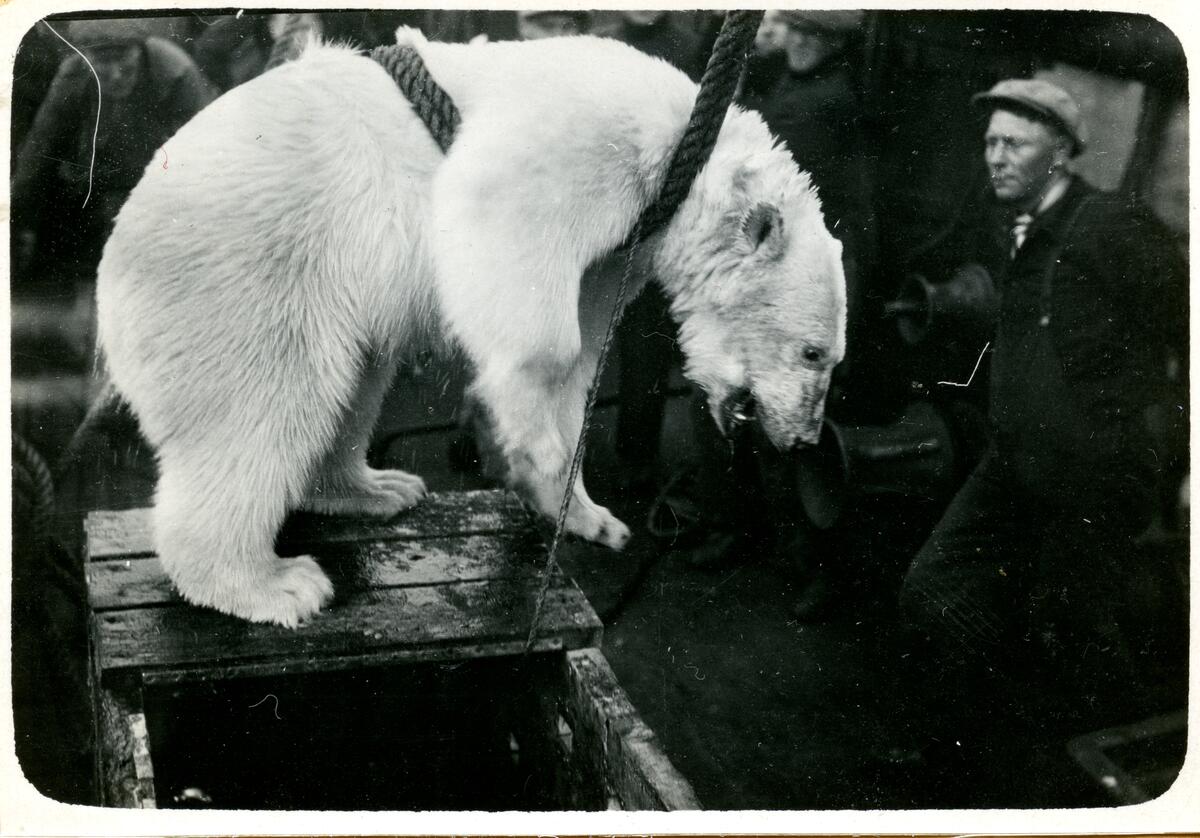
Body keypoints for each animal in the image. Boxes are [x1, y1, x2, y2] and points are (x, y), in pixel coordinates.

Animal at [96, 29, 844, 624]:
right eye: (814, 353)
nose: (804, 440)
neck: (688, 147)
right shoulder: (588, 145)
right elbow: (509, 251)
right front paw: (526, 450)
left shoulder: (617, 254)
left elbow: (582, 352)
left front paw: (588, 514)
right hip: (247, 279)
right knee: (261, 409)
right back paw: (273, 584)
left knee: (353, 385)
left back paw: (376, 488)